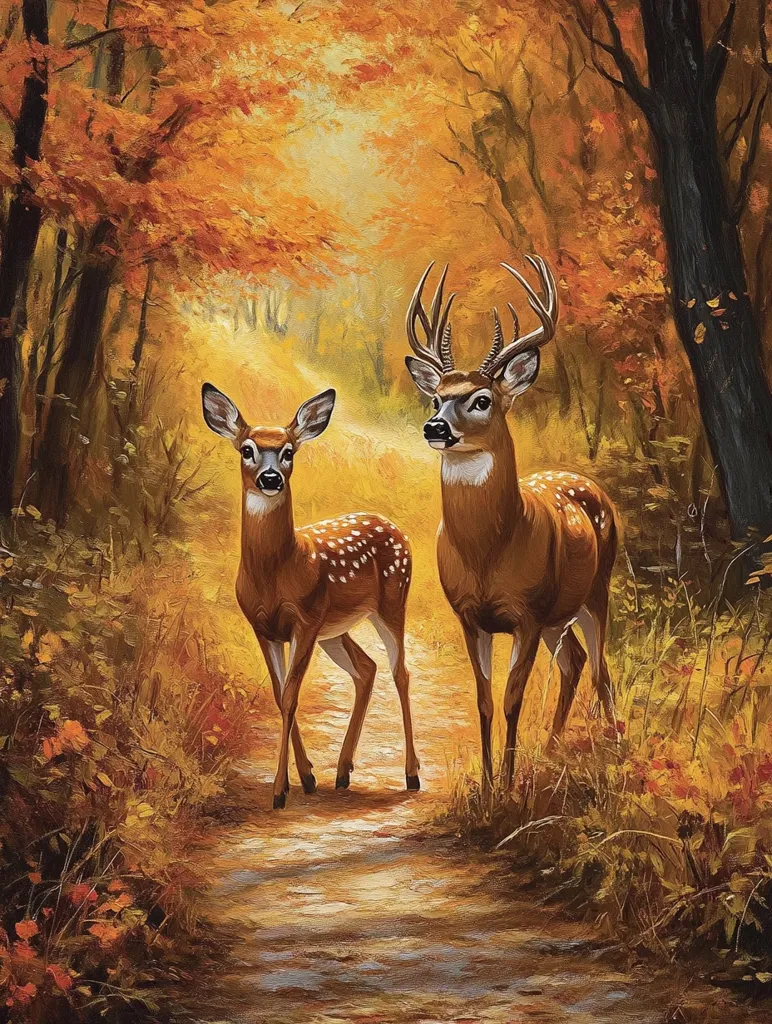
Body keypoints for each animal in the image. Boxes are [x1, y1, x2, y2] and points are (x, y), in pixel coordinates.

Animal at [201, 384, 420, 809]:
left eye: (289, 452)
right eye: (247, 449)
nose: (271, 478)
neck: (277, 571)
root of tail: (393, 526)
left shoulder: (304, 619)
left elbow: (290, 696)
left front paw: (279, 790)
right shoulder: (264, 627)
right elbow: (279, 694)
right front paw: (304, 777)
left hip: (391, 601)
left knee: (399, 671)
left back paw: (412, 774)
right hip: (335, 630)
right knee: (366, 668)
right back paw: (342, 771)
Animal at [404, 255, 618, 791]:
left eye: (482, 399)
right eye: (435, 397)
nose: (435, 427)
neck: (489, 550)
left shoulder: (527, 612)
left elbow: (511, 699)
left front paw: (507, 786)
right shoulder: (469, 615)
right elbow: (482, 700)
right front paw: (486, 784)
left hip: (595, 591)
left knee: (601, 666)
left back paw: (613, 746)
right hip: (558, 616)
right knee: (575, 662)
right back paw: (553, 749)